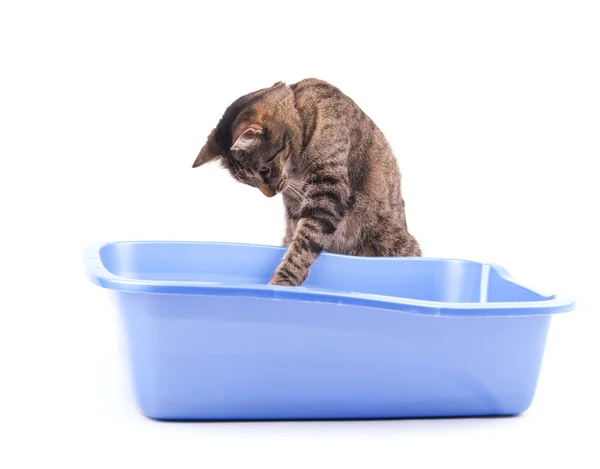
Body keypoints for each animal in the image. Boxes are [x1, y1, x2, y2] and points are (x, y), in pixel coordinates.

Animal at [195, 77, 420, 286]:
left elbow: (304, 244)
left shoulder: (328, 188)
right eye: (250, 182)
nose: (270, 194)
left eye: (264, 170)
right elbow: (298, 235)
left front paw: (282, 281)